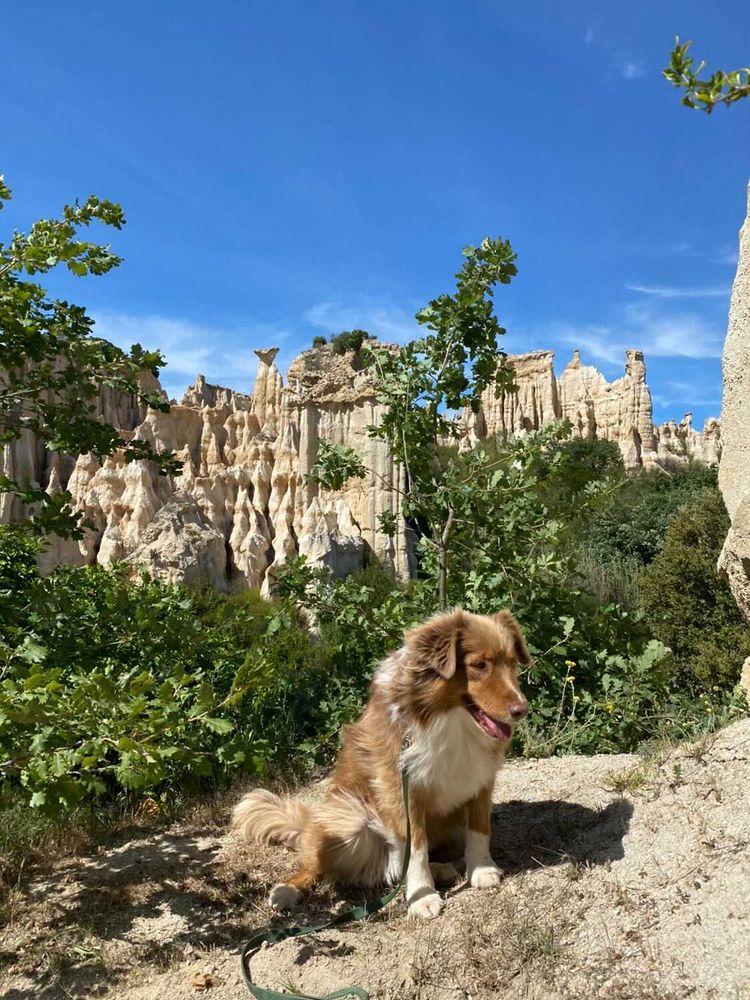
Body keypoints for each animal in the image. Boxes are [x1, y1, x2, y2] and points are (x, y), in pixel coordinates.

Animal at [232, 604, 532, 916]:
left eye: (513, 663)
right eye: (479, 665)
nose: (521, 710)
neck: (449, 720)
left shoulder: (480, 777)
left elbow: (479, 829)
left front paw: (482, 869)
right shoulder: (400, 789)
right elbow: (416, 849)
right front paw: (422, 896)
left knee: (392, 866)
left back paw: (441, 869)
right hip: (348, 819)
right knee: (330, 867)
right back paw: (287, 890)